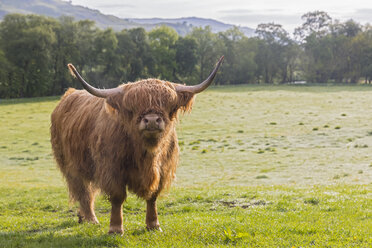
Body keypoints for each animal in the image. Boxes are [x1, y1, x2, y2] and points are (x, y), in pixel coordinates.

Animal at [49, 56, 224, 234]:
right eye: (132, 107)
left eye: (168, 105)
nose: (152, 120)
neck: (147, 155)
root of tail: (69, 94)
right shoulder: (111, 169)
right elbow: (117, 197)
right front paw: (115, 228)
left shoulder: (163, 169)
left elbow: (153, 196)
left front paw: (153, 225)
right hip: (71, 166)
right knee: (83, 192)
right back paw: (91, 219)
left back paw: (82, 217)